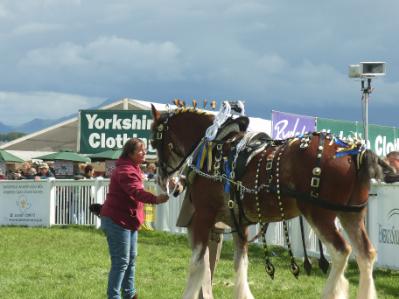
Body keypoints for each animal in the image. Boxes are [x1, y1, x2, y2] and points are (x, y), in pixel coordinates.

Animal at [150, 105, 384, 299]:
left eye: (153, 141)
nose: (162, 179)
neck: (214, 146)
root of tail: (354, 153)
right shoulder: (239, 222)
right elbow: (240, 263)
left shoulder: (203, 215)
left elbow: (198, 265)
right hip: (351, 215)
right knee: (366, 255)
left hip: (320, 215)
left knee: (341, 252)